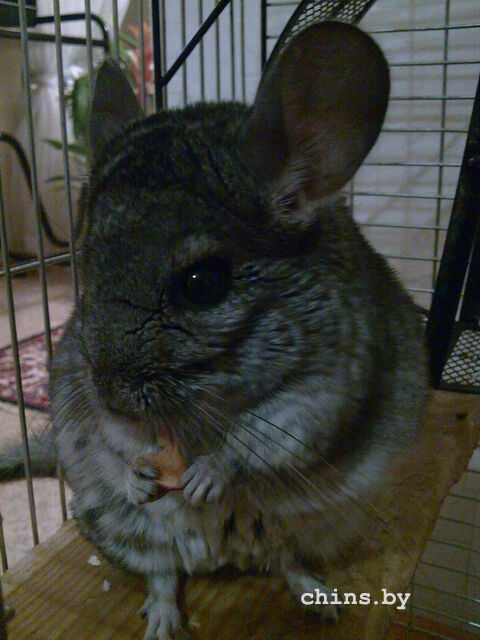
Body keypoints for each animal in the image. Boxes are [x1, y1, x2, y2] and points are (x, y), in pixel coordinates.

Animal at [48, 21, 429, 640]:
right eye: (85, 266)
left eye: (203, 283)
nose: (110, 395)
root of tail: (219, 556)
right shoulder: (85, 399)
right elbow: (116, 441)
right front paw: (137, 475)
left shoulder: (323, 390)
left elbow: (266, 435)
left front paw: (207, 477)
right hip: (113, 526)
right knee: (162, 572)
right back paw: (162, 621)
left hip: (322, 526)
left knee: (285, 559)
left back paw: (319, 596)